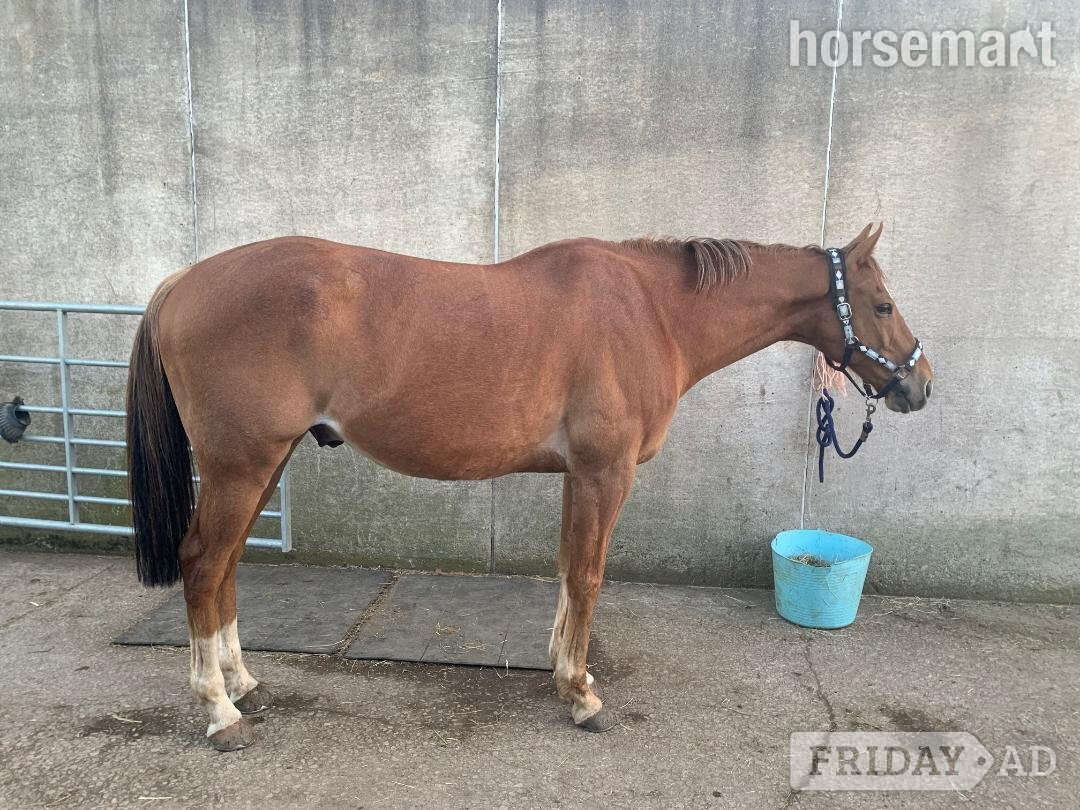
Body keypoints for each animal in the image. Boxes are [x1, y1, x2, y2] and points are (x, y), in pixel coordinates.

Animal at [125, 222, 932, 750]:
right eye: (883, 305)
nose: (921, 385)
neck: (651, 311)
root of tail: (182, 283)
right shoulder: (607, 472)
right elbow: (590, 574)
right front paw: (581, 696)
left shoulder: (580, 476)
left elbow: (569, 570)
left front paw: (564, 668)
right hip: (242, 464)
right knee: (203, 563)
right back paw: (219, 712)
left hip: (264, 463)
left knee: (226, 566)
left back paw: (242, 684)